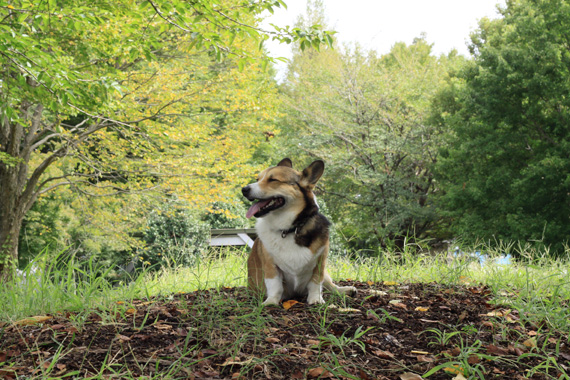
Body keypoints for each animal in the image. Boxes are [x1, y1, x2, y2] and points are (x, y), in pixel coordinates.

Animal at [241, 158, 356, 306]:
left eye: (273, 180)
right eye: (258, 179)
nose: (244, 189)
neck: (289, 229)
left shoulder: (320, 262)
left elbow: (316, 283)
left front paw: (316, 299)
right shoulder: (271, 265)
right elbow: (275, 286)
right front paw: (271, 301)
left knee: (330, 285)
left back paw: (345, 290)